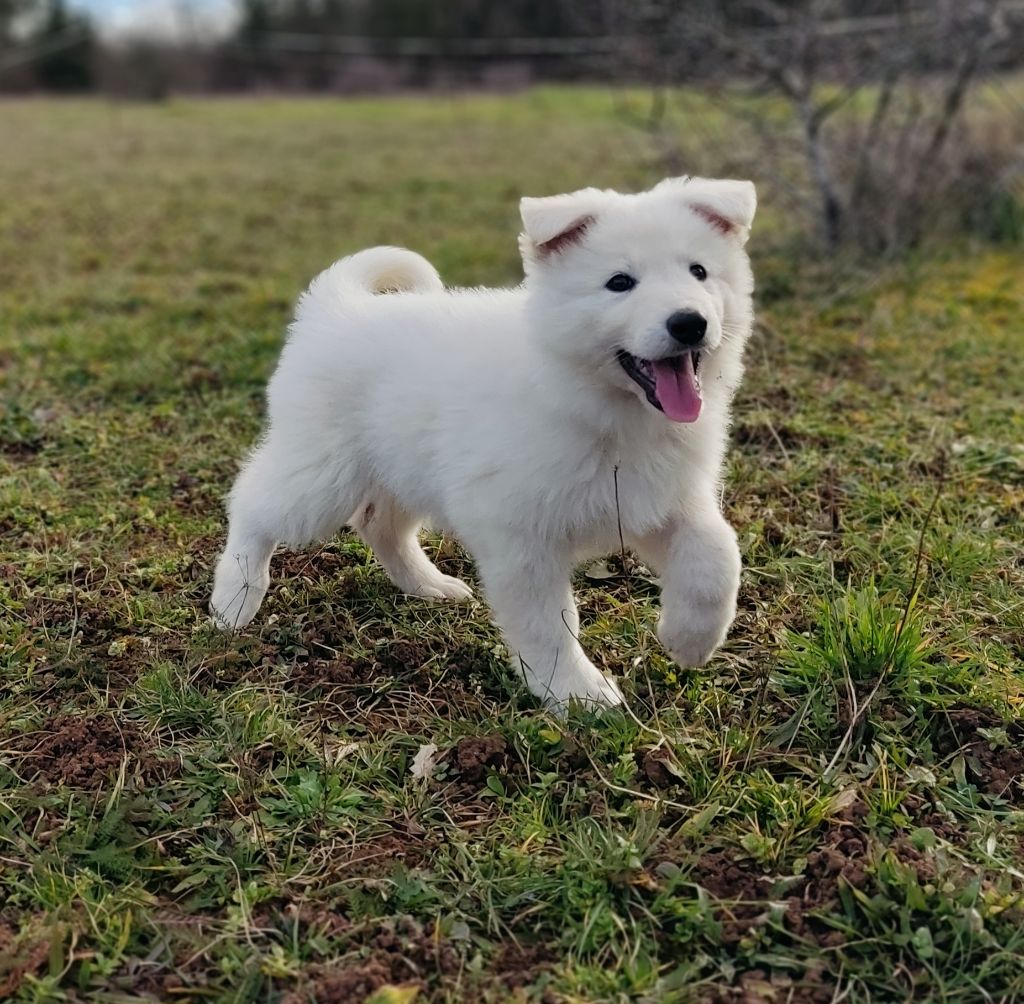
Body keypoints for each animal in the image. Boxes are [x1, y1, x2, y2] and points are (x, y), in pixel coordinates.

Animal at [209, 176, 753, 708]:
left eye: (699, 271)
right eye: (620, 282)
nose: (690, 323)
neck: (598, 405)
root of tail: (338, 307)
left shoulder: (662, 499)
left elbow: (718, 555)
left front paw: (690, 639)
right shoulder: (521, 538)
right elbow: (547, 625)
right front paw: (578, 693)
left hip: (403, 468)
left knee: (379, 524)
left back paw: (429, 586)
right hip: (322, 476)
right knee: (253, 505)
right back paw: (234, 600)